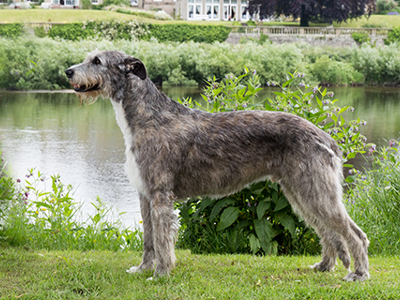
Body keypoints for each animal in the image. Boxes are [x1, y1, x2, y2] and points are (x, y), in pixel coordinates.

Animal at [65, 49, 368, 282]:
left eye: (97, 61)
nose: (68, 71)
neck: (147, 116)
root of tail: (326, 137)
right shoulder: (145, 194)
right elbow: (148, 239)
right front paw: (143, 269)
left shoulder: (161, 195)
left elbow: (162, 239)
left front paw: (161, 274)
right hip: (300, 193)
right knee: (327, 231)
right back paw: (324, 266)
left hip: (316, 190)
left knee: (354, 234)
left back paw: (359, 274)